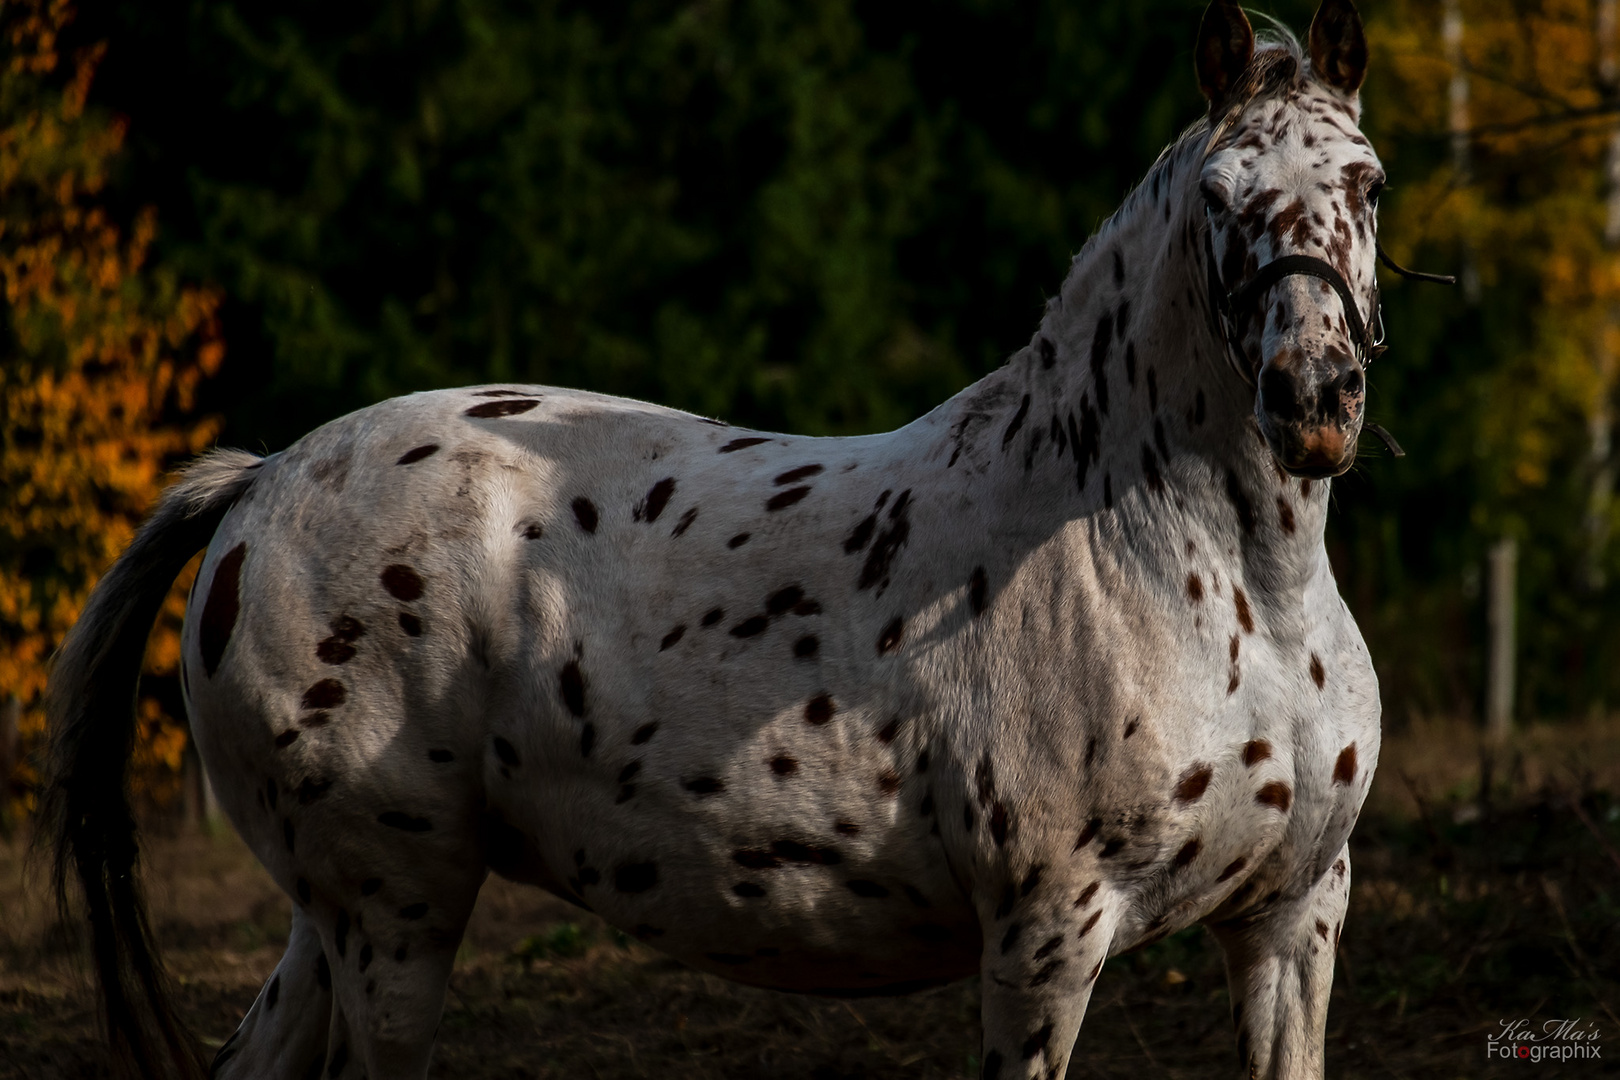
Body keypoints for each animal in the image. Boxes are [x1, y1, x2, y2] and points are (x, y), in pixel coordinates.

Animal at [44, 4, 1399, 1075]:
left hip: (332, 922)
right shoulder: (1045, 934)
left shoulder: (1293, 920)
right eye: (1219, 197)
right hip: (394, 912)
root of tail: (260, 484)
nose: (1314, 397)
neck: (1197, 577)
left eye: (1370, 180)